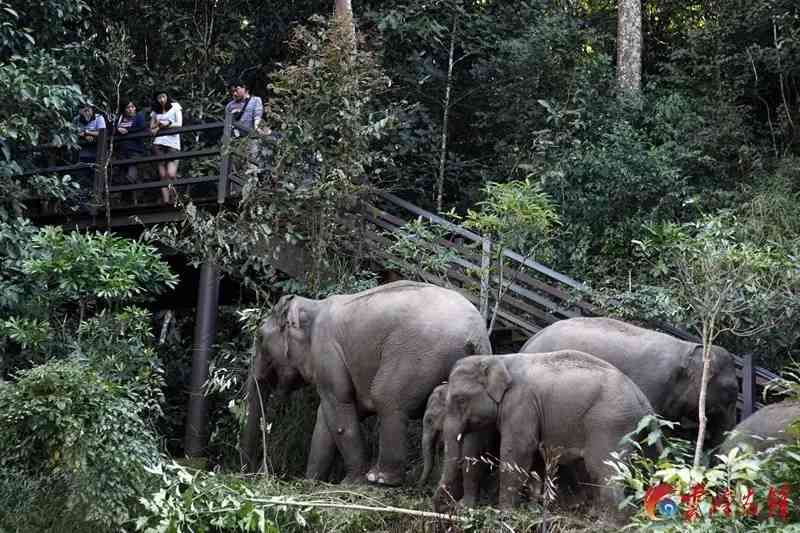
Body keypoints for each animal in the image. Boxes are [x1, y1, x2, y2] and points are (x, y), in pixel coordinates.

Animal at [241, 278, 490, 486]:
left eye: (259, 338)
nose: (253, 472)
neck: (313, 306)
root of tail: (478, 335)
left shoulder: (326, 351)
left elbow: (339, 406)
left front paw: (350, 483)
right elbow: (327, 416)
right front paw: (310, 483)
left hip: (418, 356)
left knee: (386, 398)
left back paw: (379, 478)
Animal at [432, 352, 656, 510]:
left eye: (460, 399)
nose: (438, 505)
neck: (499, 359)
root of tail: (645, 401)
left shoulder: (521, 403)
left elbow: (518, 450)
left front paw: (504, 512)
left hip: (610, 424)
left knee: (604, 470)